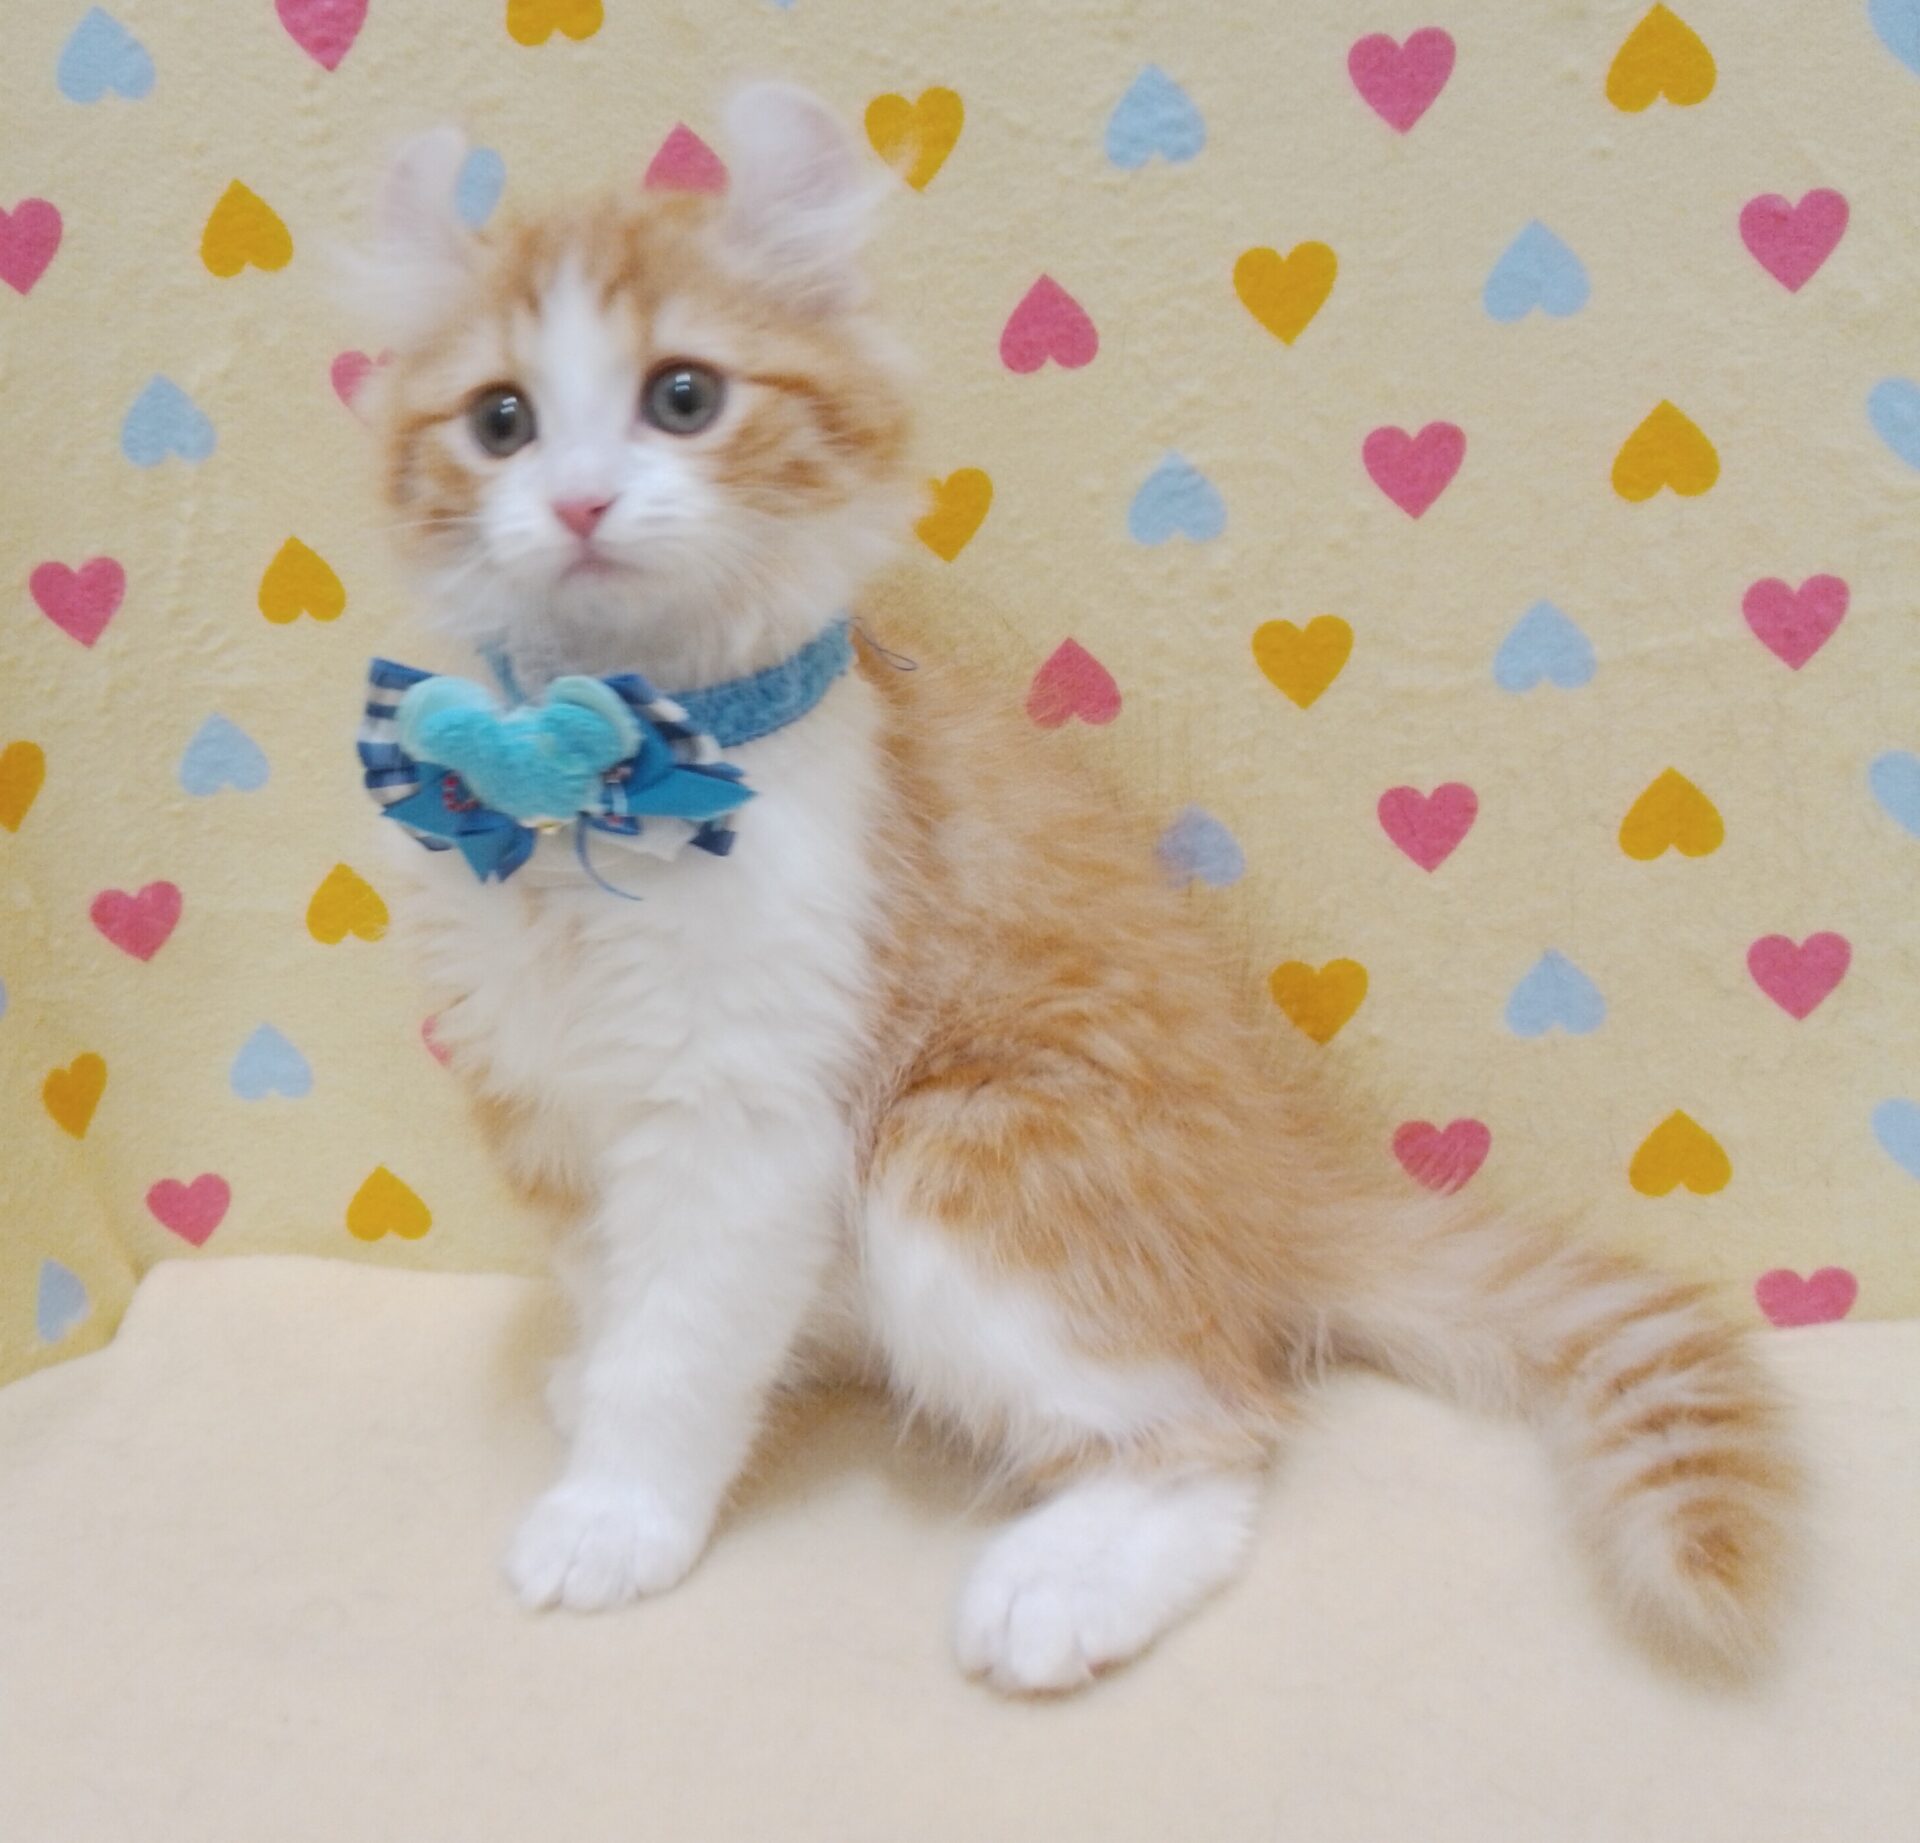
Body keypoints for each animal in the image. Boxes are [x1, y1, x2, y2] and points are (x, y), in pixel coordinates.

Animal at [352, 83, 1800, 1695]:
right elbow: (614, 1285)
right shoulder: (540, 1085)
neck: (586, 765)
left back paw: (1071, 1576)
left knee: (1223, 1424)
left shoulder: (748, 1109)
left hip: (968, 1149)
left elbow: (677, 1341)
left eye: (683, 396)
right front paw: (597, 1399)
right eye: (501, 420)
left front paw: (618, 1510)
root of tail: (1282, 1193)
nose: (582, 501)